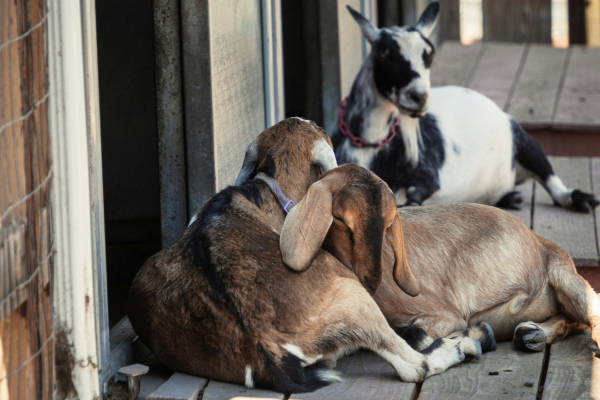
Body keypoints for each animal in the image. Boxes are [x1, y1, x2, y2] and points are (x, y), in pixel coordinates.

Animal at [282, 164, 600, 354]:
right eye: (341, 220)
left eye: (388, 223)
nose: (373, 279)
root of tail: (542, 243)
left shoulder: (444, 311)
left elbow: (414, 334)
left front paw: (471, 337)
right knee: (568, 319)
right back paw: (532, 335)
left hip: (567, 280)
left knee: (587, 313)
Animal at [330, 2, 596, 212]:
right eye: (384, 54)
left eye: (429, 55)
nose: (419, 97)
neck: (370, 144)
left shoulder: (427, 178)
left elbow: (412, 197)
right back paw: (511, 197)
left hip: (523, 139)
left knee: (552, 181)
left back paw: (581, 200)